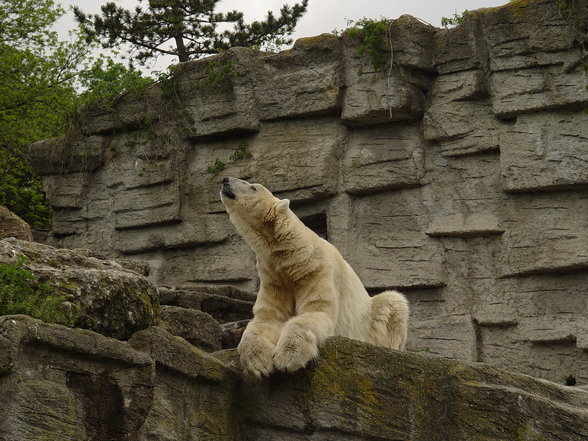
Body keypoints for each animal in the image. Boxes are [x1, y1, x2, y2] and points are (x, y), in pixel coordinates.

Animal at [220, 177, 408, 376]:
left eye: (253, 187)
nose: (225, 179)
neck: (293, 259)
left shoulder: (315, 270)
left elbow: (315, 311)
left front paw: (288, 357)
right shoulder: (274, 279)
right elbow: (267, 319)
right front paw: (258, 363)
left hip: (371, 319)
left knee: (392, 301)